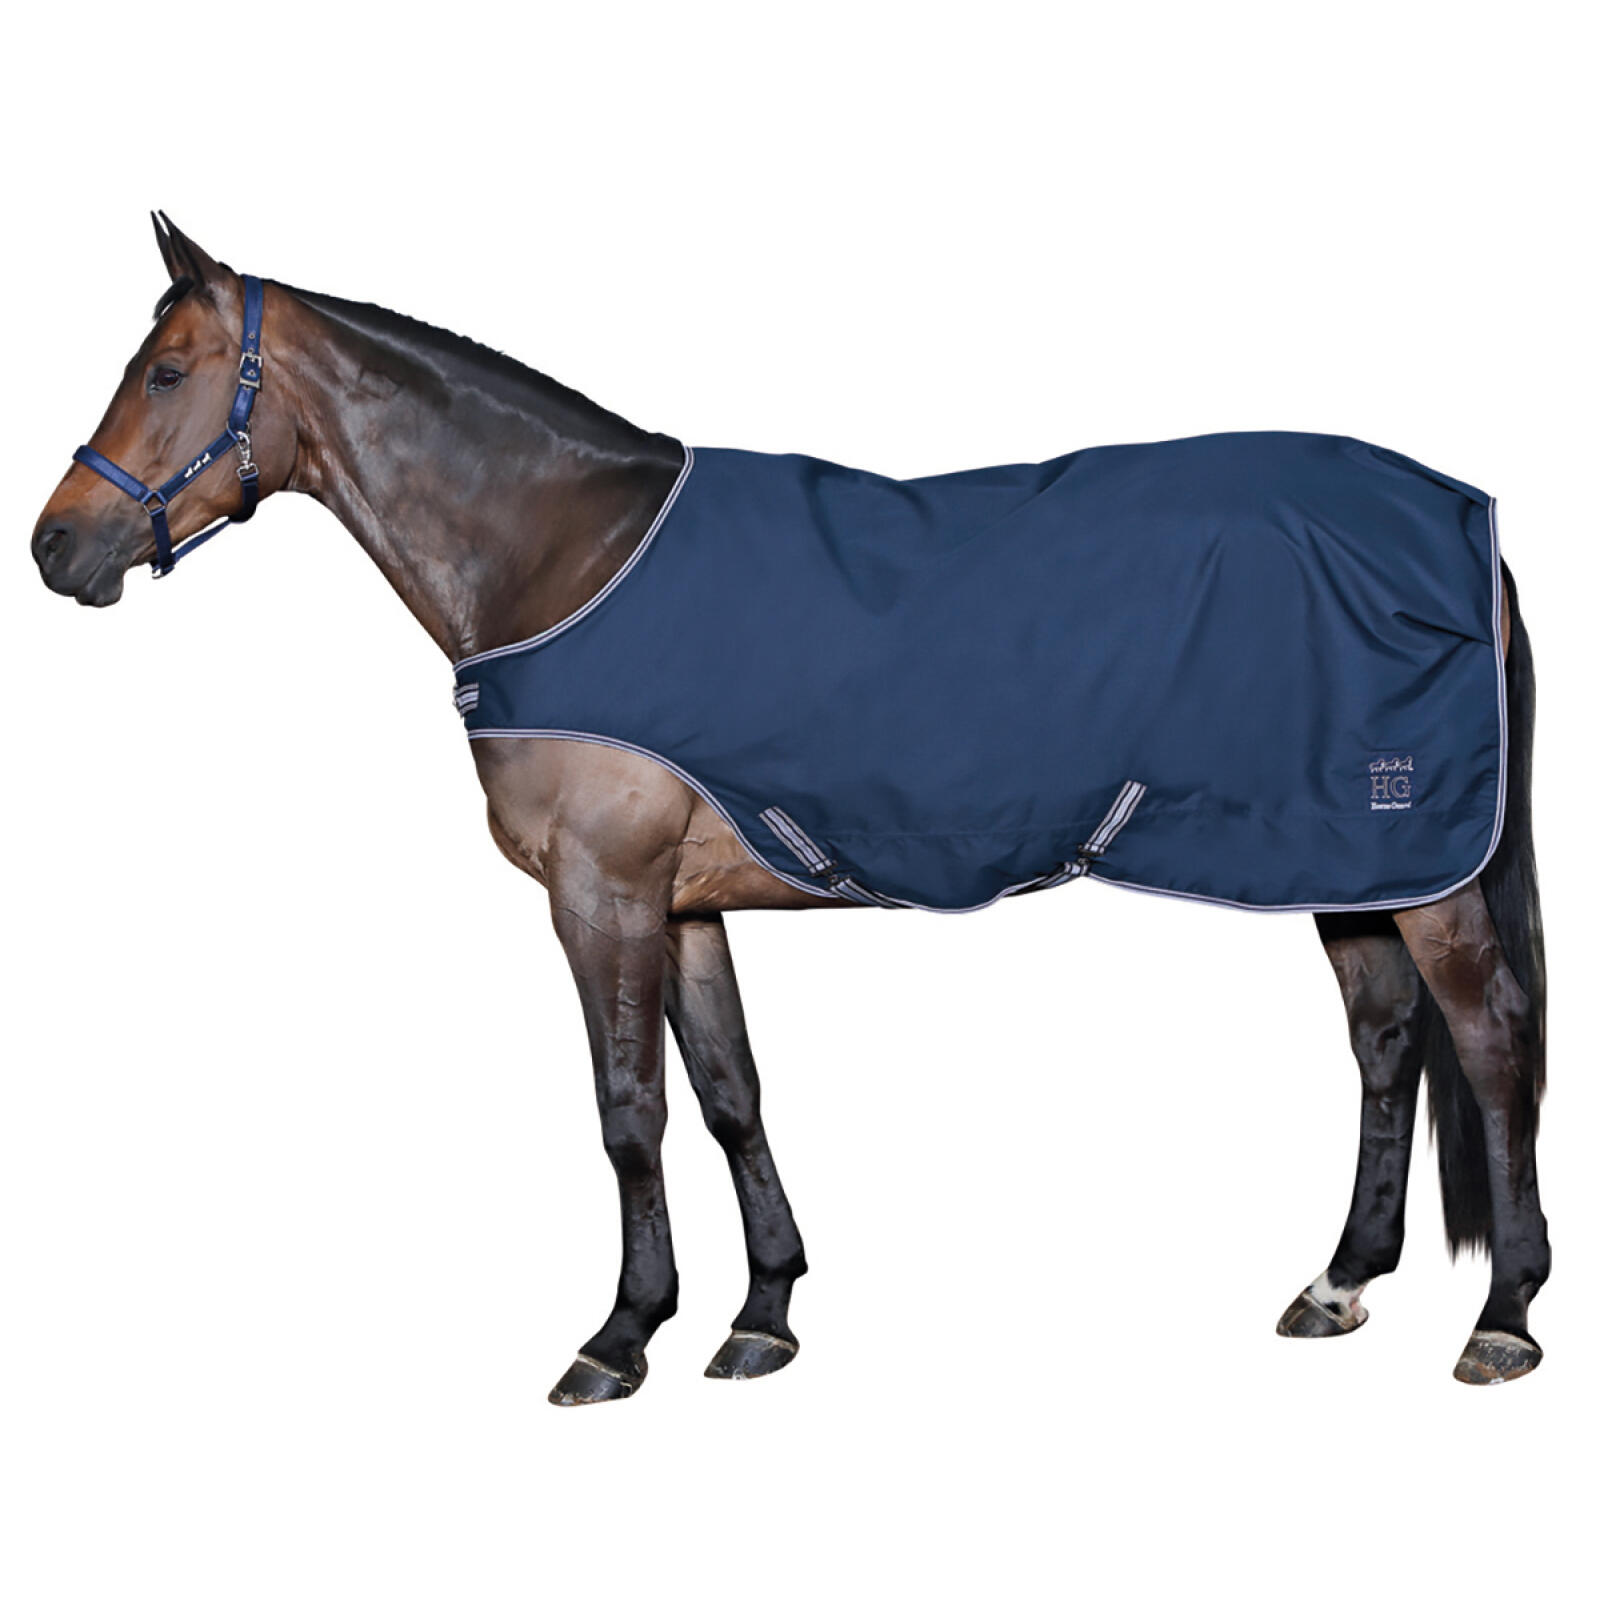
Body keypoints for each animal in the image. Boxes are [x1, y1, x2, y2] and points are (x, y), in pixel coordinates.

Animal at [31, 216, 1550, 1400]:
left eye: (164, 371)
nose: (55, 548)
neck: (564, 555)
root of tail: (1463, 523)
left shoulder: (601, 893)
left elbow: (628, 1109)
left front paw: (617, 1339)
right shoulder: (683, 900)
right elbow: (728, 1093)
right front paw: (760, 1315)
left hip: (1420, 866)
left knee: (1490, 1047)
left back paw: (1504, 1318)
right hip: (1344, 858)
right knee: (1385, 1042)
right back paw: (1341, 1282)